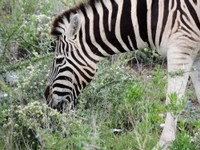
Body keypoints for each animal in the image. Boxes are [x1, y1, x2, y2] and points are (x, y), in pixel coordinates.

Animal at [44, 0, 199, 149]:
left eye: (59, 60)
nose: (46, 98)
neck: (150, 16)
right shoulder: (195, 55)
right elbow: (197, 94)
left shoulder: (180, 49)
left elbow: (173, 101)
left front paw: (164, 144)